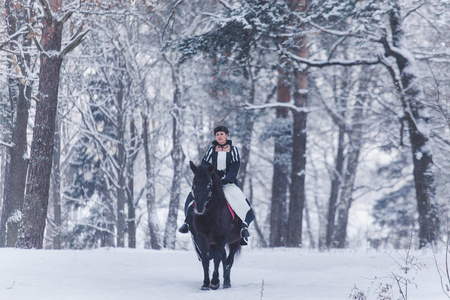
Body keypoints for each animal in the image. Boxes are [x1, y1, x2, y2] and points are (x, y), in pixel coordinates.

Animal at [187, 162, 241, 290]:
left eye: (209, 184)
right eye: (194, 183)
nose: (199, 208)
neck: (210, 215)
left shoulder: (221, 239)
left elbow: (216, 259)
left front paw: (215, 282)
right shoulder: (202, 239)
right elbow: (206, 260)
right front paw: (206, 283)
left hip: (234, 241)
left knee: (229, 261)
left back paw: (227, 282)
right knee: (224, 259)